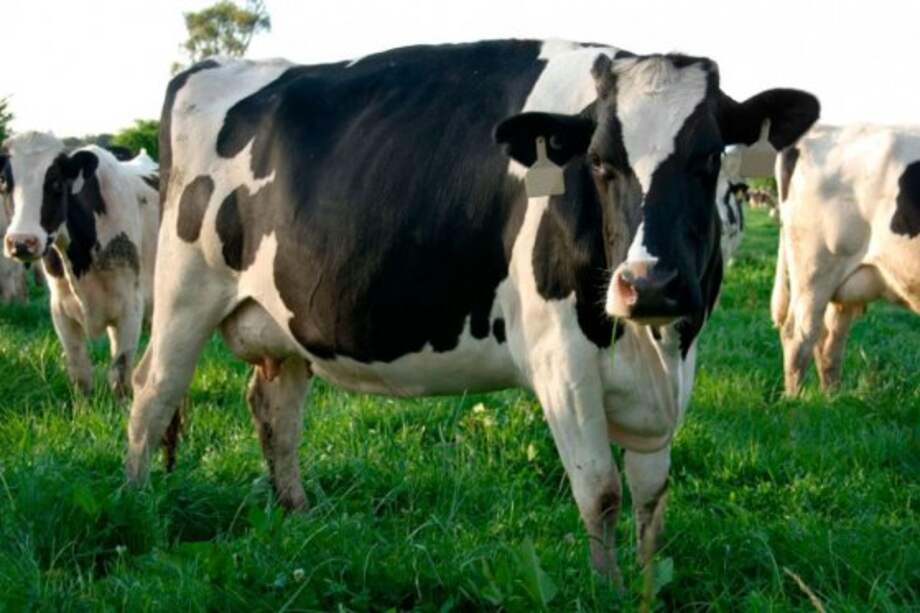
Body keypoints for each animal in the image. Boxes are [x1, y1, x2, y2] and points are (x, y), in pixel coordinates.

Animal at [1, 132, 160, 396]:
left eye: (56, 183)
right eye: (4, 182)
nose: (21, 242)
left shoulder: (130, 306)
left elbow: (120, 373)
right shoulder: (60, 310)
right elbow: (80, 373)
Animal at [127, 40, 818, 579]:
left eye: (707, 159)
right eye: (599, 162)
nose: (648, 285)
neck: (653, 351)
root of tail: (210, 68)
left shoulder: (673, 371)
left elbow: (652, 498)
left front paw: (648, 588)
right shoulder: (561, 362)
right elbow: (601, 492)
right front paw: (608, 589)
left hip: (288, 318)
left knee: (275, 411)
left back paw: (300, 518)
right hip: (183, 293)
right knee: (151, 393)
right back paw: (135, 505)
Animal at [771, 124, 920, 394]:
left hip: (840, 282)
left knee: (830, 339)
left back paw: (833, 398)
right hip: (814, 270)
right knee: (799, 335)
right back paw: (794, 400)